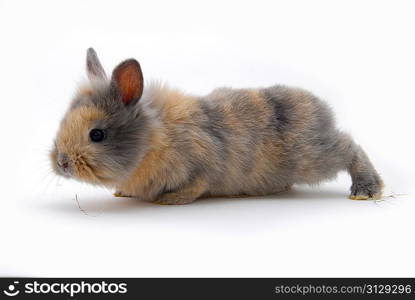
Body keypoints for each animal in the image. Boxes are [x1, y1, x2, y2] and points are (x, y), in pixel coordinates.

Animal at [50, 48, 386, 205]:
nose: (62, 163)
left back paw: (365, 191)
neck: (152, 140)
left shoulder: (202, 165)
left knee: (350, 148)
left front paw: (168, 200)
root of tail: (321, 109)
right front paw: (124, 193)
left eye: (97, 134)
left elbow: (196, 185)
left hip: (312, 158)